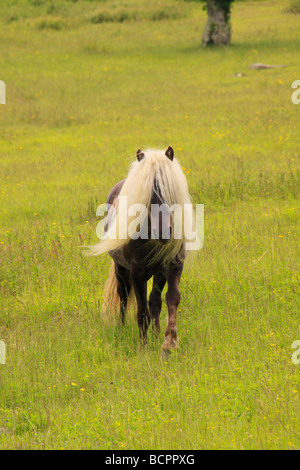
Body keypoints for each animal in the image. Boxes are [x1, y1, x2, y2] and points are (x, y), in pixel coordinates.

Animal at [89, 147, 195, 352]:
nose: (163, 232)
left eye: (170, 190)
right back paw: (122, 329)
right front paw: (143, 346)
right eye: (147, 194)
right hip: (121, 269)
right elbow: (141, 310)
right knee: (122, 296)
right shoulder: (137, 273)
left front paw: (168, 342)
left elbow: (168, 300)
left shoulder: (172, 266)